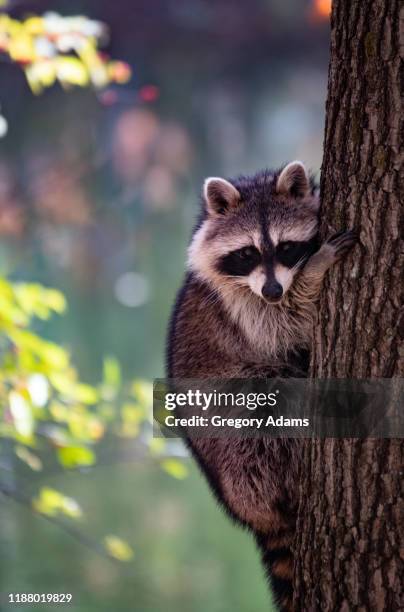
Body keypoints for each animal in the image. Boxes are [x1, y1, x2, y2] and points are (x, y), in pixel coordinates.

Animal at [166, 160, 356, 608]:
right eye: (247, 253)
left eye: (285, 247)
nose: (272, 289)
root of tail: (256, 517)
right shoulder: (239, 307)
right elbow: (284, 324)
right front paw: (314, 272)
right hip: (239, 452)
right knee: (268, 395)